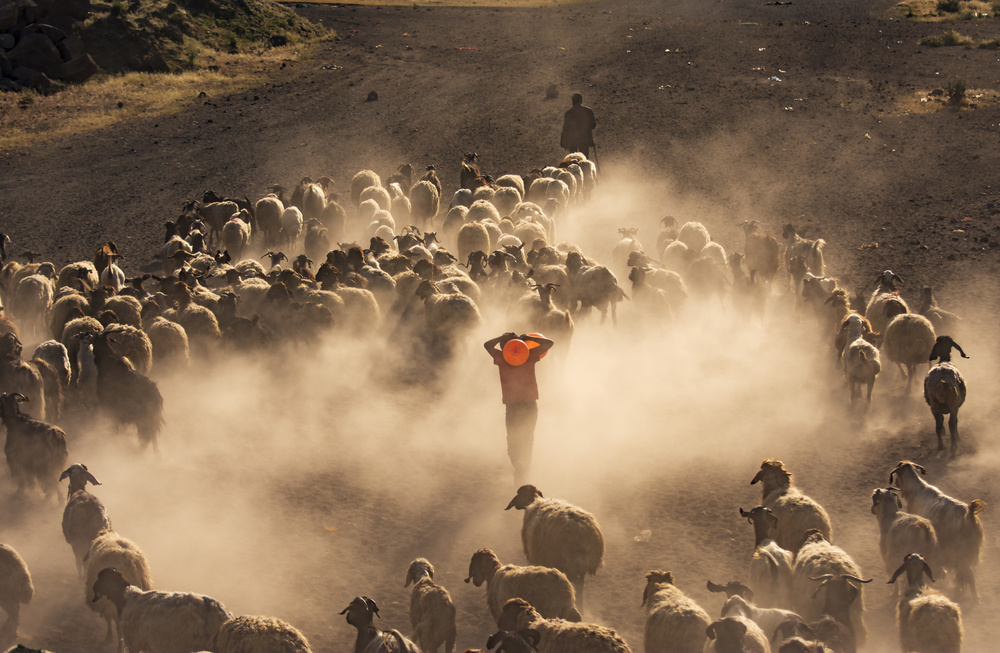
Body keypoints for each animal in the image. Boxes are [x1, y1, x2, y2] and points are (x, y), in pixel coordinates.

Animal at [892, 458, 984, 600]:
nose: (896, 482)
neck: (916, 491)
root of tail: (970, 516)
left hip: (960, 550)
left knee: (966, 573)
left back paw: (967, 595)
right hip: (969, 551)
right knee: (966, 573)